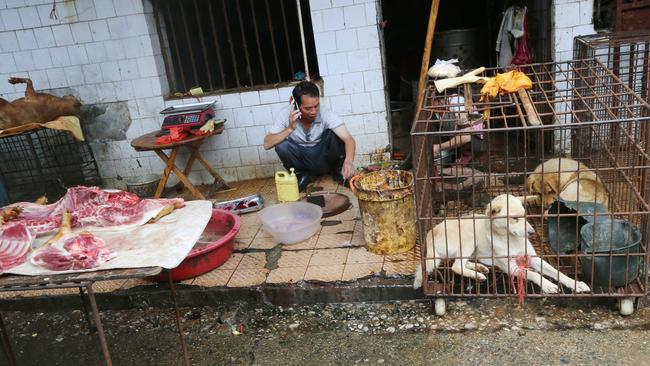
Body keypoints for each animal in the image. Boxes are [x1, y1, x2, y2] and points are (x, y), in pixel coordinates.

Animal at [412, 194, 588, 294]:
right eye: (515, 218)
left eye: (525, 215)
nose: (532, 232)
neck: (511, 239)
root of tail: (431, 232)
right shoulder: (509, 266)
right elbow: (533, 274)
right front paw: (547, 285)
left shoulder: (534, 258)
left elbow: (558, 273)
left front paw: (576, 284)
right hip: (469, 238)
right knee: (456, 266)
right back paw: (477, 274)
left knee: (460, 263)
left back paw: (479, 268)